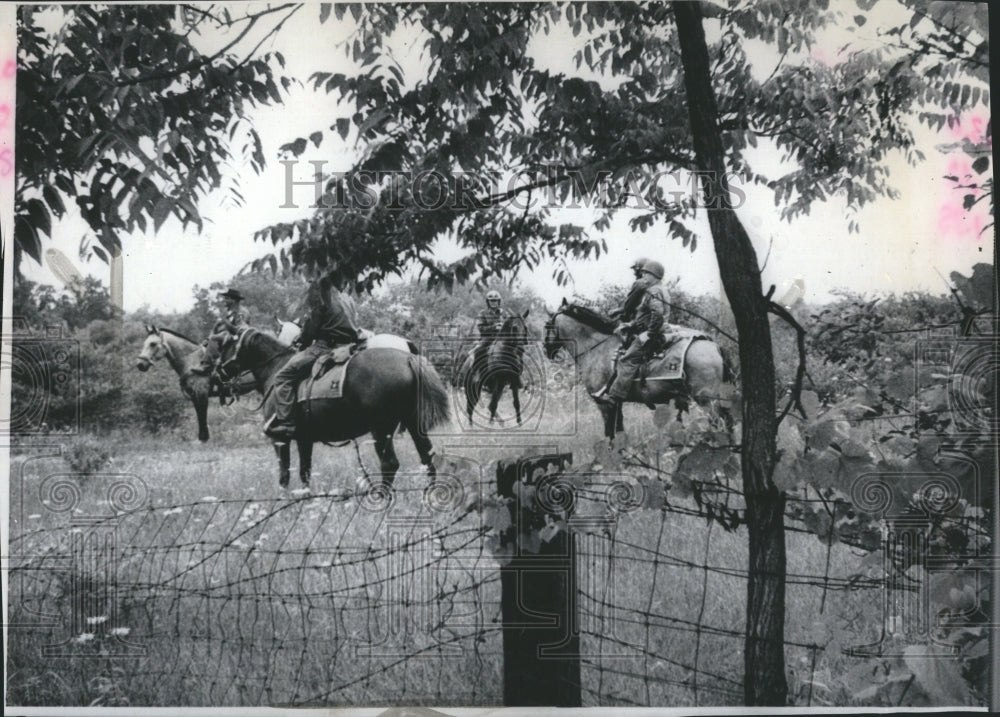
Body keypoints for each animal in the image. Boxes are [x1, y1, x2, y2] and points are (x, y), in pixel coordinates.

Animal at [223, 328, 454, 486]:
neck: (275, 370)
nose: (220, 372)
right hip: (413, 424)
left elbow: (284, 474)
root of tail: (407, 358)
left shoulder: (279, 439)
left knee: (390, 464)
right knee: (428, 458)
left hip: (381, 429)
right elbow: (304, 472)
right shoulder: (304, 440)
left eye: (227, 344)